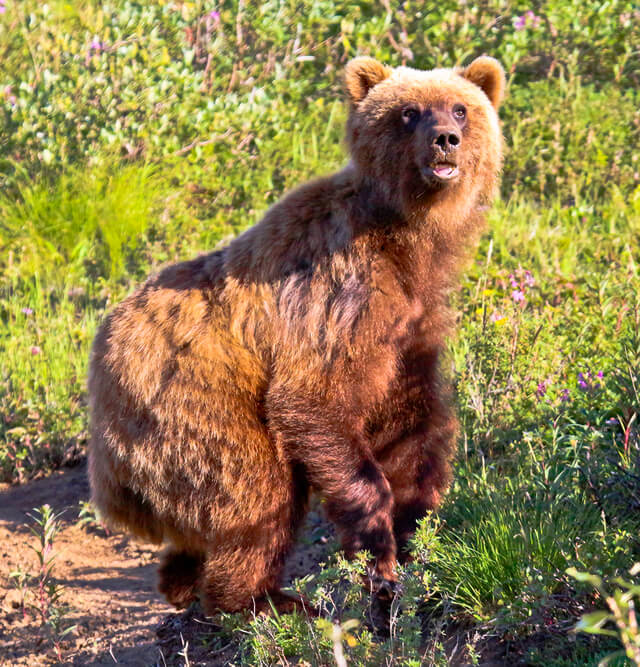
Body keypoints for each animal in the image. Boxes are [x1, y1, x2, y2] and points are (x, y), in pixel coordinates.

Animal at [88, 55, 505, 615]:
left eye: (460, 107)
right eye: (409, 112)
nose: (445, 139)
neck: (406, 236)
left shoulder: (413, 320)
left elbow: (411, 422)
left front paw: (417, 527)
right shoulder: (338, 294)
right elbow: (315, 400)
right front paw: (377, 555)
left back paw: (182, 579)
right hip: (191, 402)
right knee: (256, 492)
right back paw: (264, 600)